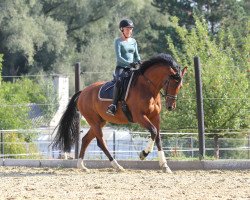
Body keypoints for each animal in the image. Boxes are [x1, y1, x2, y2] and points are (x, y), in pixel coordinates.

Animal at [51, 53, 187, 172]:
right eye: (170, 83)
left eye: (180, 86)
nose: (171, 106)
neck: (148, 87)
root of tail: (83, 92)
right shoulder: (140, 116)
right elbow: (153, 131)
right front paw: (144, 153)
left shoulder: (155, 117)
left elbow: (157, 137)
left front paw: (164, 166)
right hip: (94, 121)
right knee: (101, 142)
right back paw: (117, 165)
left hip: (100, 121)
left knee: (85, 139)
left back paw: (82, 166)